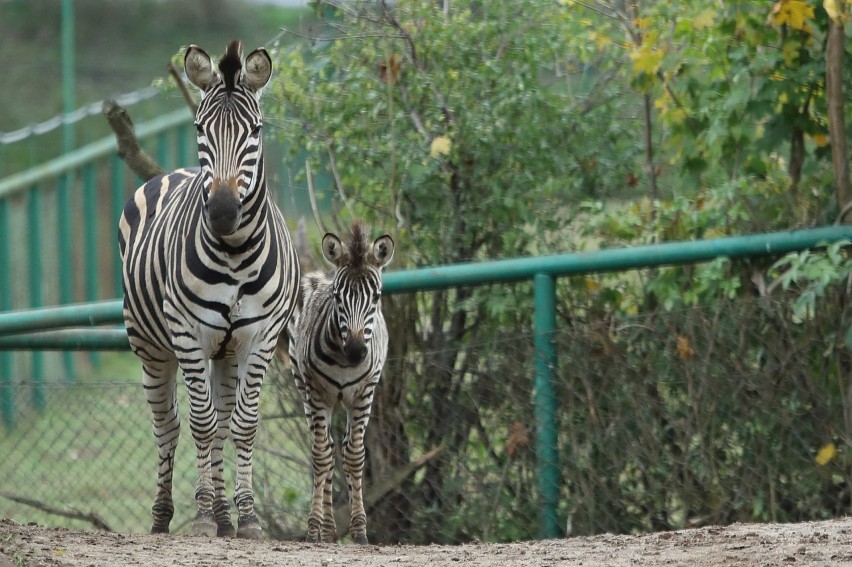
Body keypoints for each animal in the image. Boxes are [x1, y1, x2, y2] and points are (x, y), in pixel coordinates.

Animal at [118, 41, 300, 540]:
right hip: (151, 348)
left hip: (227, 351)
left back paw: (223, 516)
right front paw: (200, 518)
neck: (235, 252)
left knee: (220, 424)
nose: (221, 212)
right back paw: (165, 516)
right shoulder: (188, 334)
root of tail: (171, 171)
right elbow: (200, 423)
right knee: (168, 426)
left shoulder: (261, 337)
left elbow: (243, 424)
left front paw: (247, 518)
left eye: (256, 130)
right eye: (200, 128)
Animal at [286, 223, 392, 544]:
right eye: (337, 296)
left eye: (377, 296)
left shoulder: (364, 393)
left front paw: (359, 530)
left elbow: (354, 456)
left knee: (337, 448)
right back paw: (327, 528)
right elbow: (321, 456)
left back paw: (332, 529)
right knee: (325, 448)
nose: (356, 352)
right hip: (307, 391)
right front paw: (312, 529)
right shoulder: (317, 391)